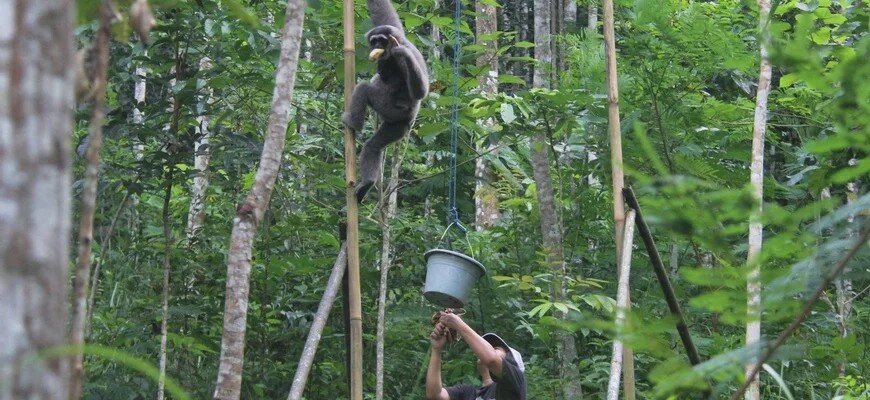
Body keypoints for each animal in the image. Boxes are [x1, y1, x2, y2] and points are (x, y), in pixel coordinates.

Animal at [342, 0, 429, 202]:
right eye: (374, 40)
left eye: (381, 40)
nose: (376, 44)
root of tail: (407, 122)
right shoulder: (395, 30)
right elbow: (384, 13)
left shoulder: (402, 51)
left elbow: (420, 91)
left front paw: (402, 54)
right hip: (396, 127)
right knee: (373, 146)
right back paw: (367, 184)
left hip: (391, 111)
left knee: (364, 87)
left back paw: (354, 123)